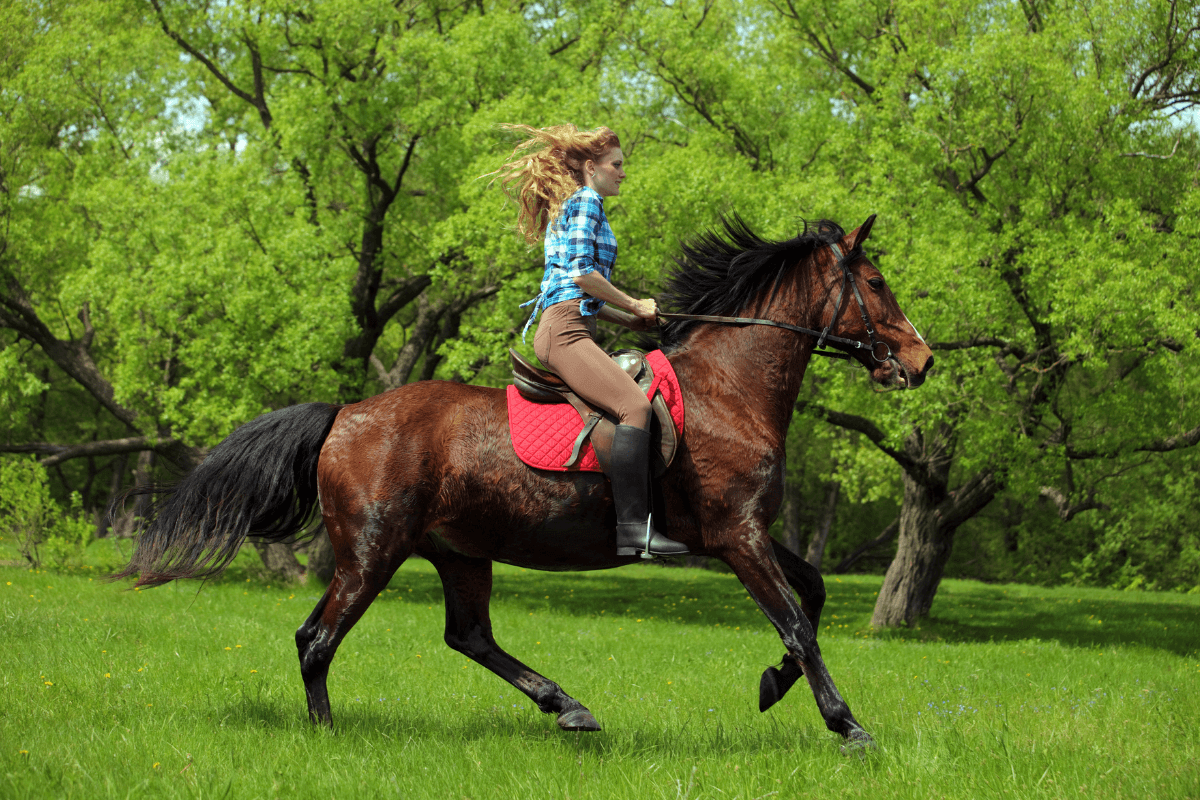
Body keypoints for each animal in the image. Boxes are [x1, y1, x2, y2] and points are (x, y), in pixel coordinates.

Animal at [115, 214, 934, 749]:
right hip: (372, 553)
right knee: (318, 639)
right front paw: (847, 725)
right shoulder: (736, 536)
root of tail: (346, 413)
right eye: (876, 281)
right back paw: (328, 735)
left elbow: (814, 596)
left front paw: (772, 685)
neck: (727, 390)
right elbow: (796, 622)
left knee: (468, 635)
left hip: (459, 551)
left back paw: (568, 707)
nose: (921, 361)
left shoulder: (741, 532)